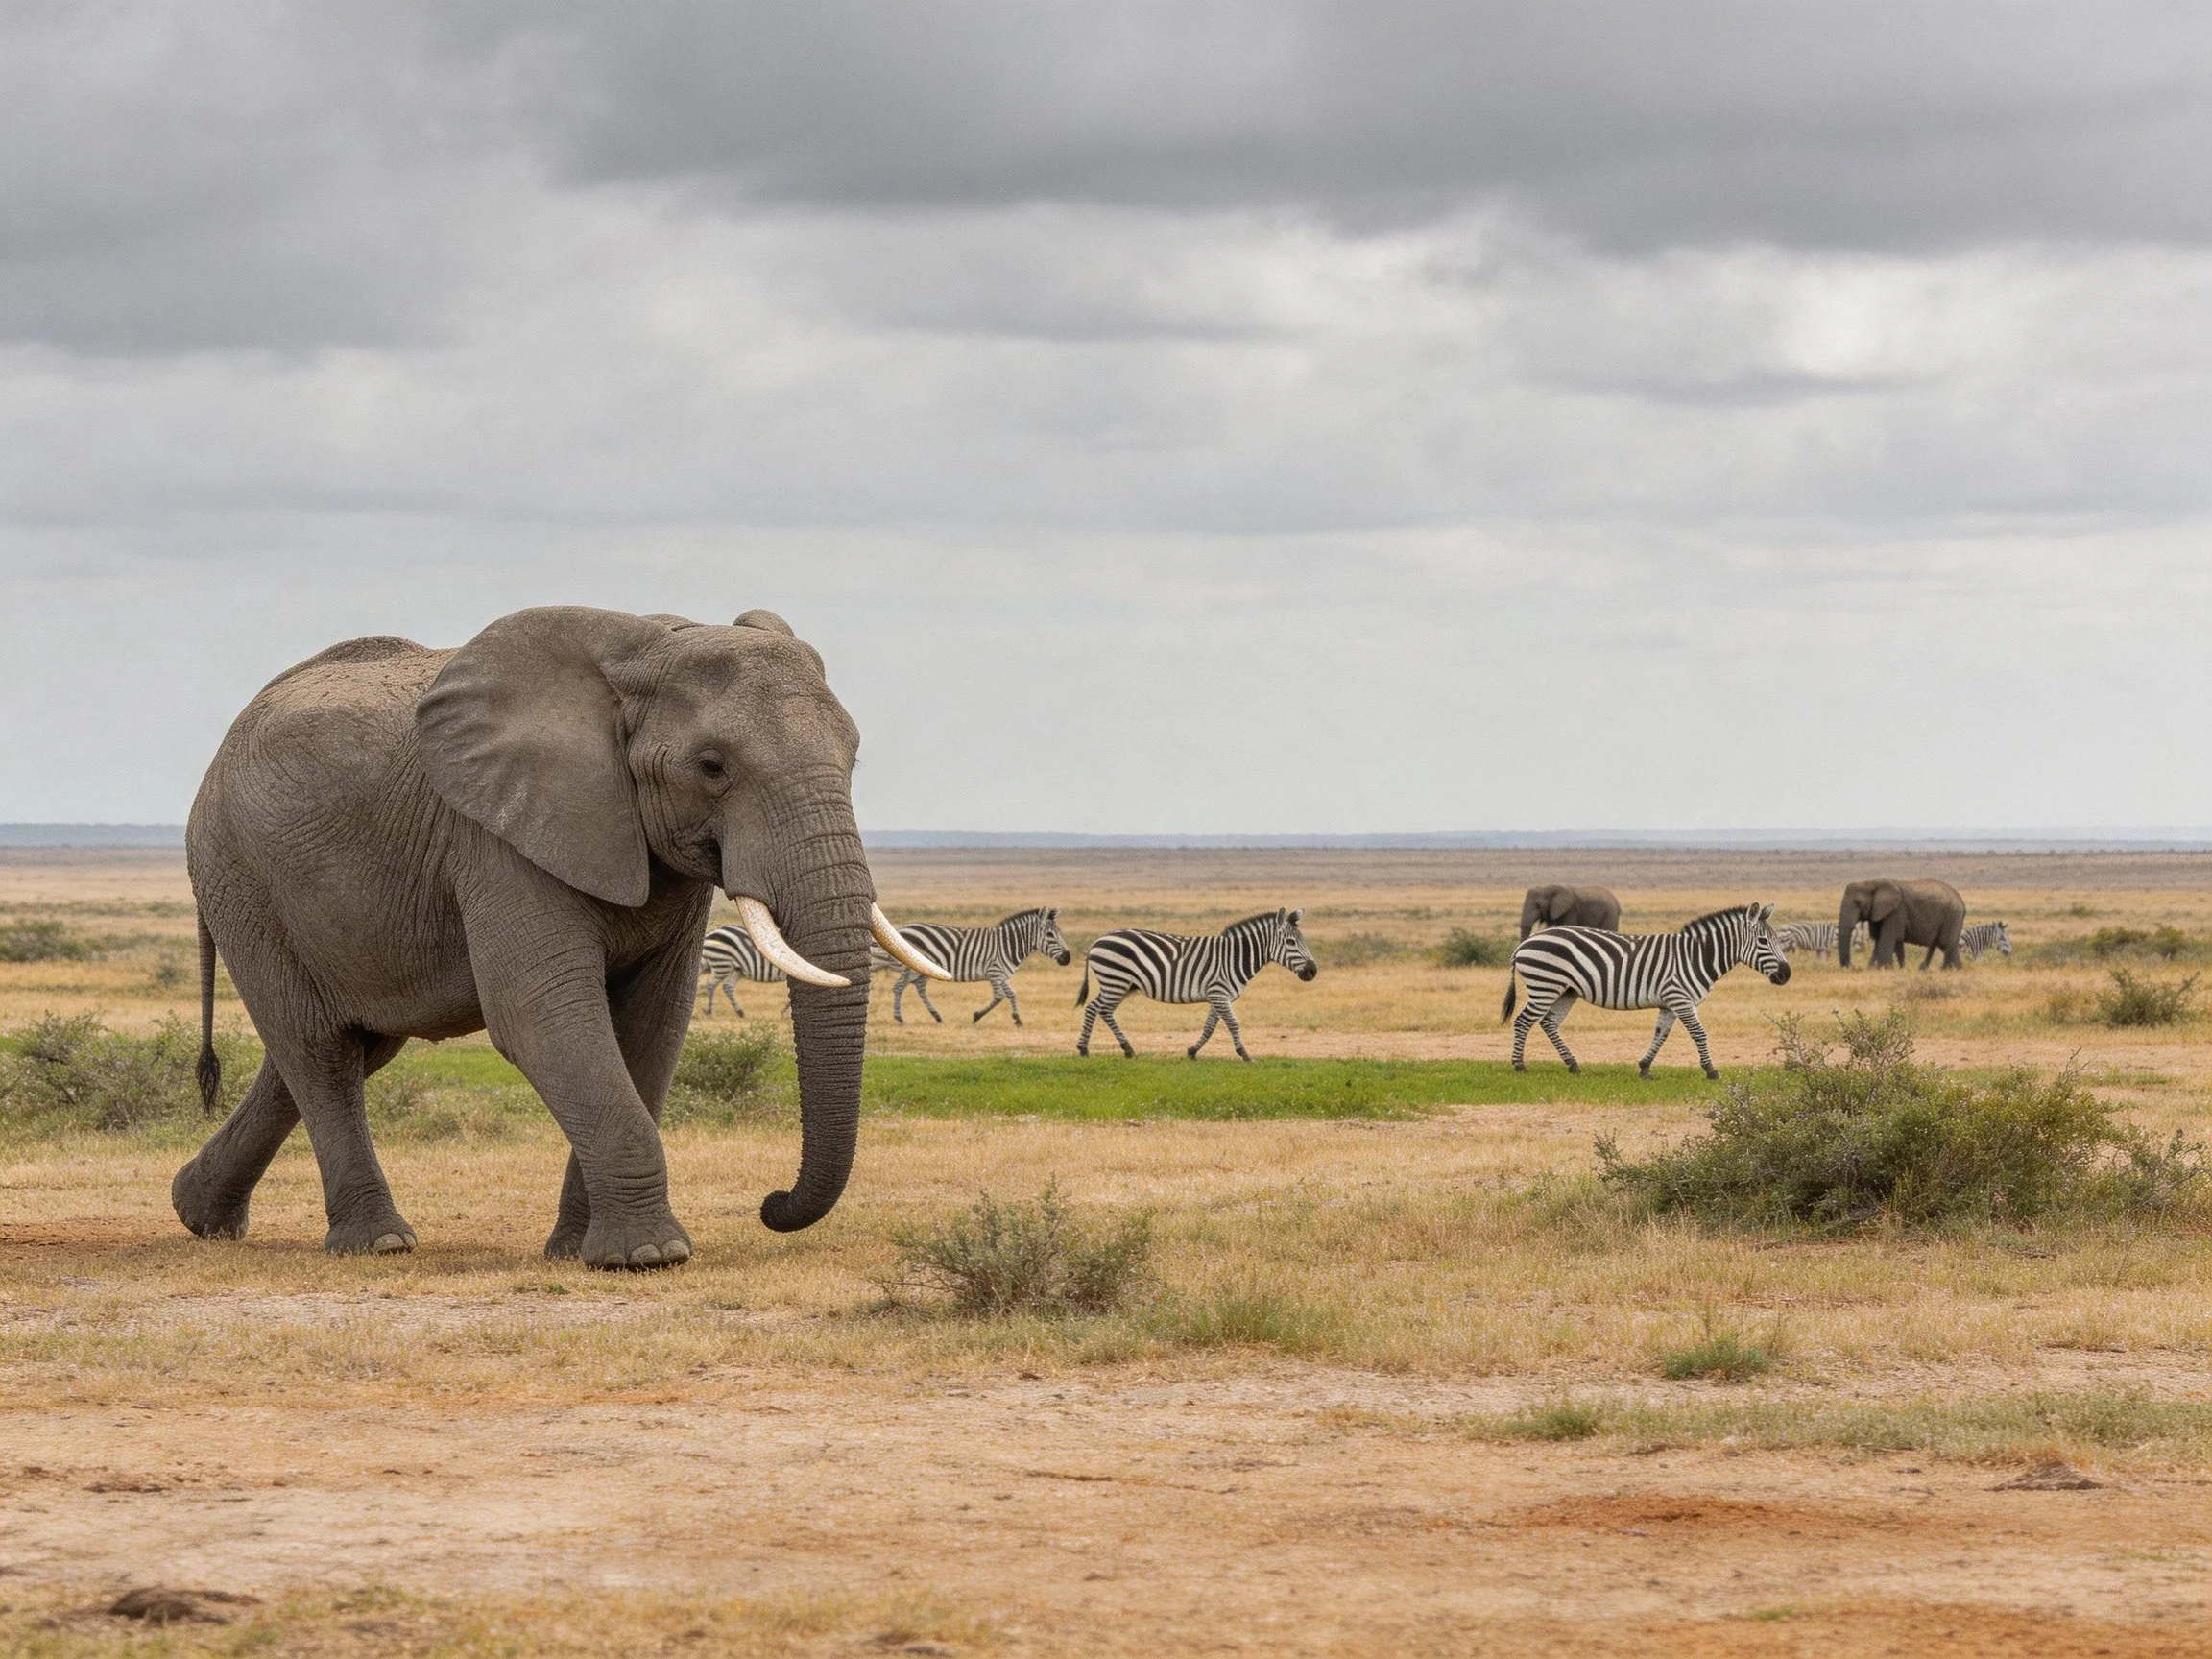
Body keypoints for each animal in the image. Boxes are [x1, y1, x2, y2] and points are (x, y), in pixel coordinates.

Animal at [170, 606, 948, 1269]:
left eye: (853, 759)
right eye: (712, 766)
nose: (772, 1203)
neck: (645, 652)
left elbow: (651, 1027)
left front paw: (581, 1254)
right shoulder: (495, 840)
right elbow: (546, 1018)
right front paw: (648, 1258)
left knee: (351, 1045)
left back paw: (199, 1215)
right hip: (239, 875)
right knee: (318, 1047)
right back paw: (377, 1244)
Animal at [872, 907, 1072, 1026]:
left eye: (1059, 933)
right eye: (1050, 935)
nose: (1068, 958)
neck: (1008, 944)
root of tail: (901, 928)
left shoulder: (1001, 973)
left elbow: (1011, 994)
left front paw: (1017, 1018)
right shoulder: (995, 972)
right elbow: (999, 996)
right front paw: (977, 1016)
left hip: (922, 970)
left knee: (918, 988)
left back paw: (936, 1016)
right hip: (913, 967)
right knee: (899, 987)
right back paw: (899, 1018)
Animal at [1076, 908, 1317, 1060]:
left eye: (1302, 940)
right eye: (1291, 942)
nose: (1313, 971)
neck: (1234, 957)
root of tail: (1098, 939)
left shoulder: (1218, 995)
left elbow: (1210, 1027)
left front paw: (1192, 1051)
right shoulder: (1219, 993)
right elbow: (1233, 1024)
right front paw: (1246, 1055)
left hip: (1120, 984)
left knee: (1097, 1009)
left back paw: (1102, 1048)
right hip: (1116, 980)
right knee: (1100, 1009)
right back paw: (1102, 1049)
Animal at [1501, 903, 1791, 1080]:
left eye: (1777, 941)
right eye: (1763, 941)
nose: (1787, 975)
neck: (1696, 956)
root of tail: (1524, 943)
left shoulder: (1670, 1003)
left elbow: (1660, 1034)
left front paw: (1644, 1068)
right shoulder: (1681, 998)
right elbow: (1699, 1033)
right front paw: (1711, 1070)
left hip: (1565, 990)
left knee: (1548, 1023)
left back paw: (1572, 1064)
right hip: (1544, 985)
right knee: (1523, 1021)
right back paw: (1519, 1065)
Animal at [1836, 878, 1967, 970]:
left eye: (1858, 903)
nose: (1853, 967)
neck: (1872, 882)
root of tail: (1962, 902)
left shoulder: (1896, 911)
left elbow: (1887, 938)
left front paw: (1882, 968)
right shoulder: (1878, 911)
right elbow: (1879, 938)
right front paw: (1875, 968)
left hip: (1952, 915)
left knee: (1945, 943)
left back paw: (1947, 969)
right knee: (1943, 944)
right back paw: (1954, 969)